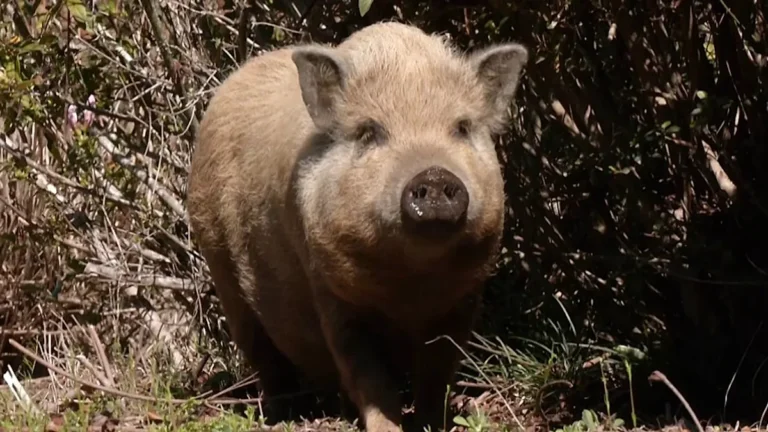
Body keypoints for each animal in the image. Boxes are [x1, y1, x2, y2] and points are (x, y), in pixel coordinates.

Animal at [187, 21, 528, 432]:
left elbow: (437, 372)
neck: (412, 282)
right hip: (221, 266)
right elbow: (370, 378)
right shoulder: (334, 296)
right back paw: (283, 415)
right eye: (370, 132)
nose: (433, 173)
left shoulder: (462, 300)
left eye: (462, 127)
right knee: (264, 356)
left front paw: (432, 423)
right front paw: (387, 428)